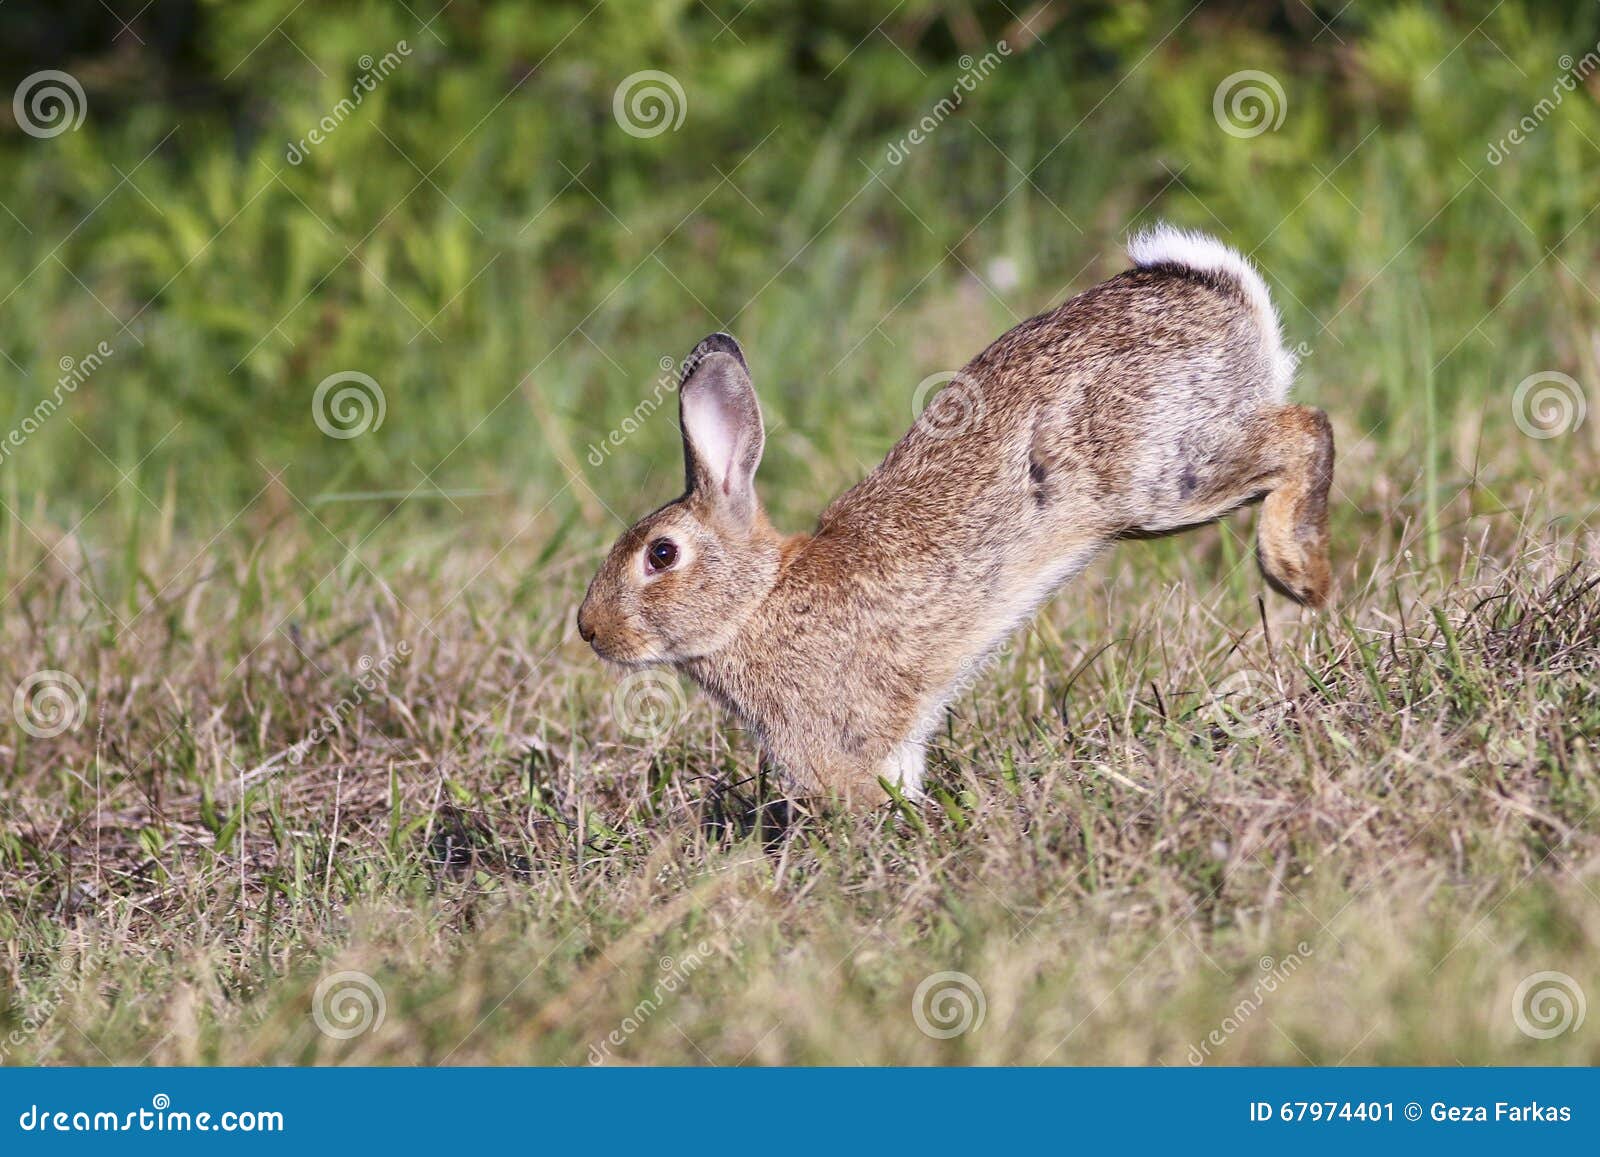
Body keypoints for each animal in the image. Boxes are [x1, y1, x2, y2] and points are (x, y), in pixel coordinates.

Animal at [582, 222, 1331, 809]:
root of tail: (1223, 296)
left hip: (1162, 476)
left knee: (1307, 429)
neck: (756, 600)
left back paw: (1298, 571)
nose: (590, 630)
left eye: (661, 555)